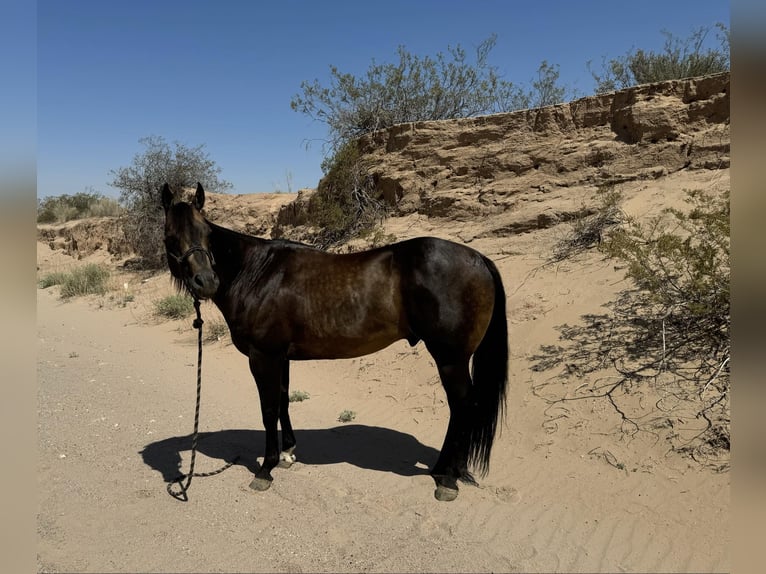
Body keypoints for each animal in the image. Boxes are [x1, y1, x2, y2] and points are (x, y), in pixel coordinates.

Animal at [160, 182, 509, 501]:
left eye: (207, 233)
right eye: (170, 237)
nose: (206, 282)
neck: (257, 273)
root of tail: (479, 258)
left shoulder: (263, 356)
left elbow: (268, 408)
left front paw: (265, 469)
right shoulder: (281, 357)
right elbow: (284, 401)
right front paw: (287, 454)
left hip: (450, 359)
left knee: (462, 406)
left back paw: (447, 478)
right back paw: (447, 471)